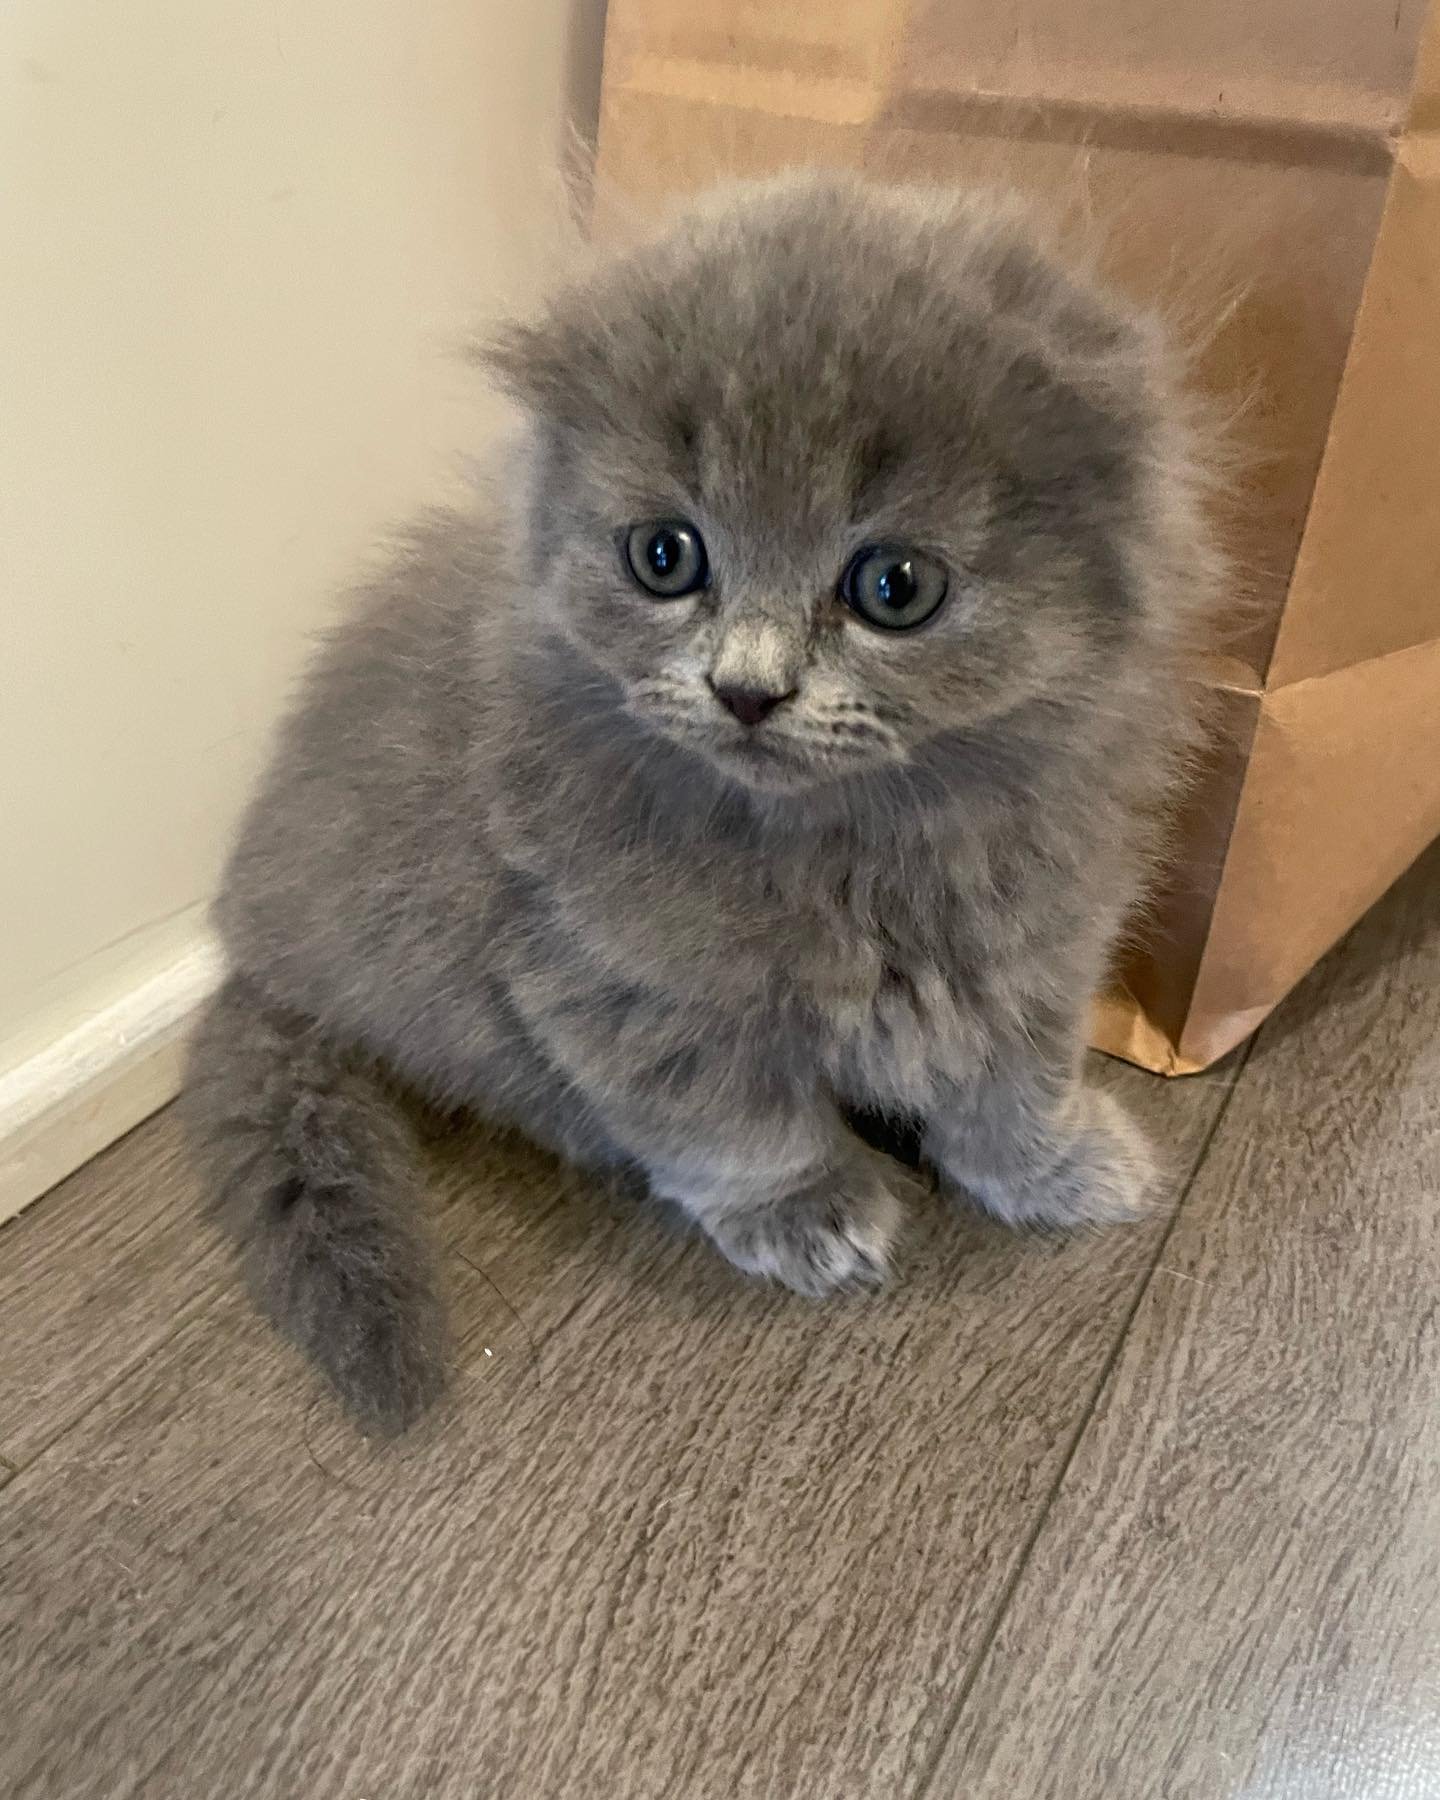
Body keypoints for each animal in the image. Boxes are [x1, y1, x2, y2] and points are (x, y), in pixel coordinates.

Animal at [180, 175, 1216, 1425]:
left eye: (896, 587)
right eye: (665, 557)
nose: (747, 688)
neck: (851, 851)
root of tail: (249, 949)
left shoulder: (1032, 939)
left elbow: (1019, 1081)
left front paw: (1059, 1167)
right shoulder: (615, 982)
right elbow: (733, 1119)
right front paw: (810, 1212)